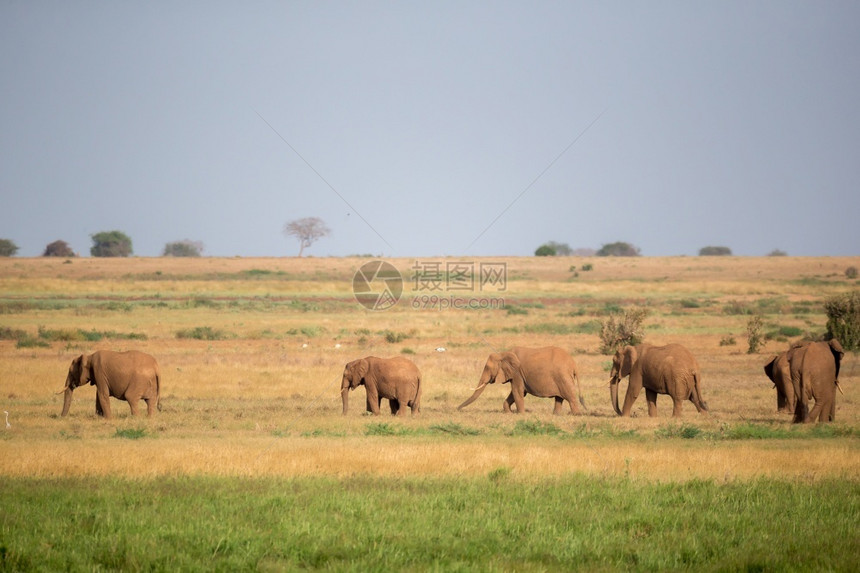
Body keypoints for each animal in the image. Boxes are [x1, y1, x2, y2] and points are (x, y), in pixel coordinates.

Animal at [456, 346, 584, 414]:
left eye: (487, 368)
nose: (457, 409)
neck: (503, 353)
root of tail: (574, 364)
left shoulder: (517, 372)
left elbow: (517, 391)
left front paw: (520, 414)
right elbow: (516, 392)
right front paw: (508, 413)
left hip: (563, 377)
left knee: (570, 397)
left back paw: (575, 414)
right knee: (559, 398)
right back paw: (556, 415)